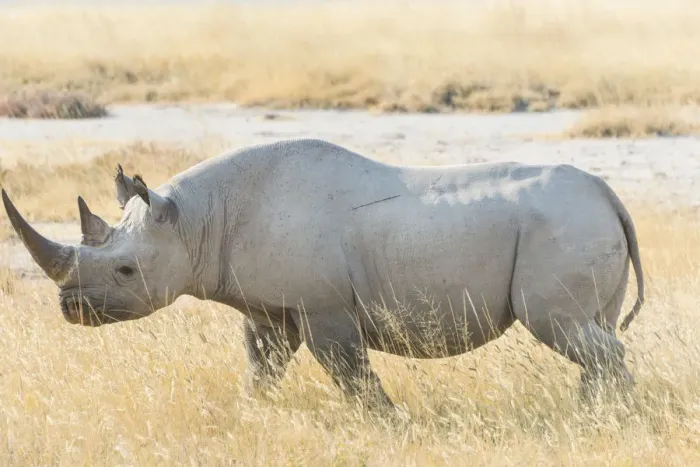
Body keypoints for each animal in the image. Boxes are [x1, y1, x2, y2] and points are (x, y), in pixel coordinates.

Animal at [2, 138, 644, 409]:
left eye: (126, 270)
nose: (69, 310)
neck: (194, 221)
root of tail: (610, 194)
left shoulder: (325, 306)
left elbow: (351, 374)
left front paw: (388, 423)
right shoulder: (269, 308)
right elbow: (261, 368)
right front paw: (251, 413)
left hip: (562, 226)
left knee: (562, 327)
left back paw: (604, 416)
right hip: (577, 221)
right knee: (592, 331)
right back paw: (593, 415)